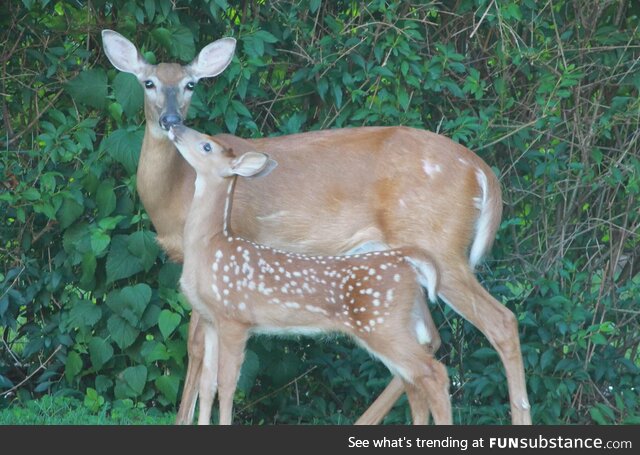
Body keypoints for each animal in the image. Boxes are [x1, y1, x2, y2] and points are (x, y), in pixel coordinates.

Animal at [101, 30, 528, 426]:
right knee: (430, 340)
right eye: (148, 82)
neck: (177, 190)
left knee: (500, 322)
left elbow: (195, 349)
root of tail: (484, 172)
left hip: (440, 244)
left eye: (191, 84)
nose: (172, 121)